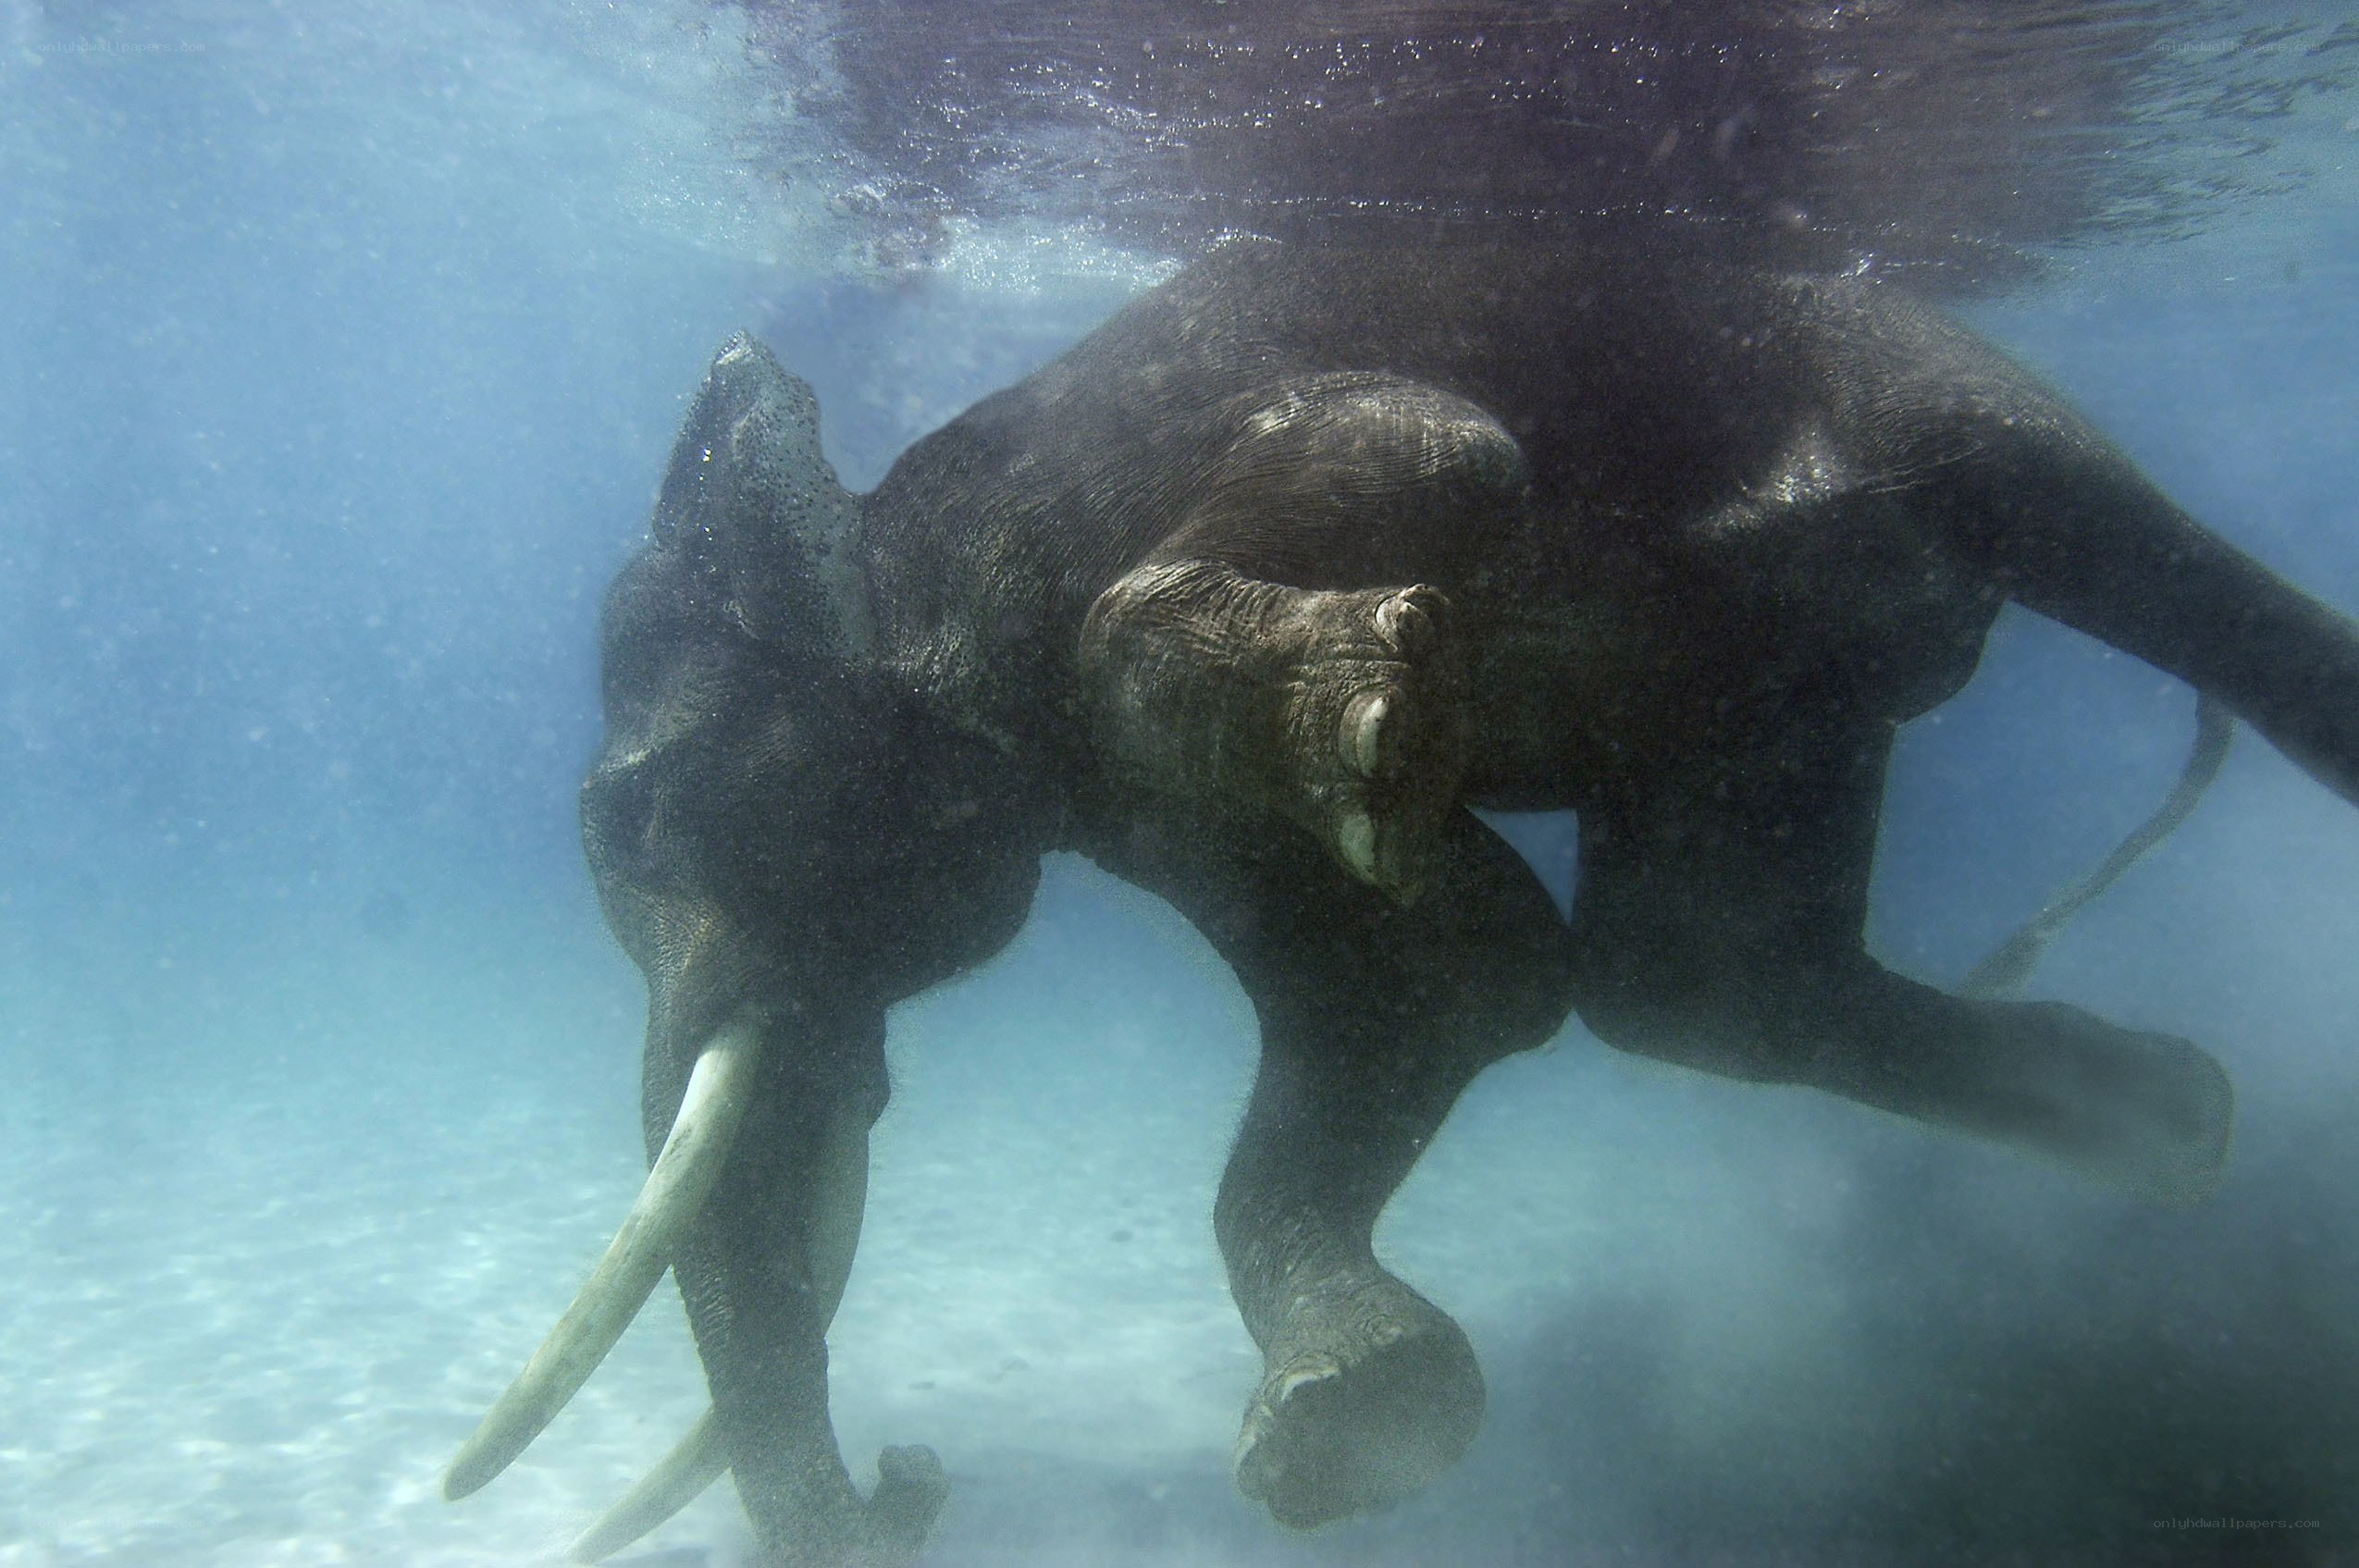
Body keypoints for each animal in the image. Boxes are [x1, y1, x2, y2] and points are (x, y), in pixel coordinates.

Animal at [443, 237, 2359, 1566]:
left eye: (631, 818)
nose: (918, 1483)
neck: (896, 527)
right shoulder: (1150, 817)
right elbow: (1455, 987)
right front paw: (1362, 1427)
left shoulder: (1170, 483)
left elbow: (1443, 451)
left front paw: (1379, 719)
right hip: (1772, 714)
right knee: (1698, 977)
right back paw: (2174, 1127)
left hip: (1917, 372)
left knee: (2126, 549)